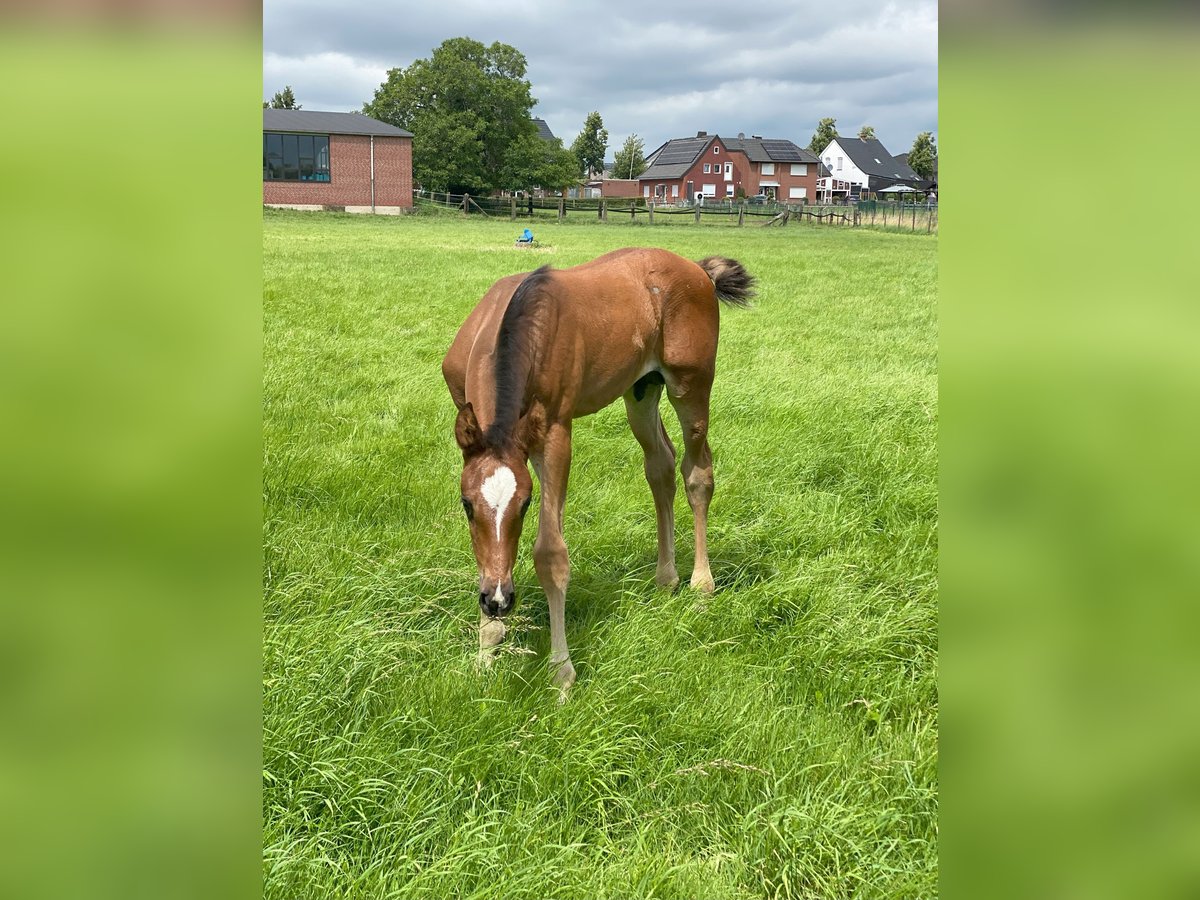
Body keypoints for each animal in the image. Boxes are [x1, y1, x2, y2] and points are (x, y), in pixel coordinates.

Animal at [446, 247, 753, 696]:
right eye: (467, 505)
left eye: (525, 505)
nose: (498, 601)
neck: (519, 320)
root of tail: (697, 270)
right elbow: (483, 553)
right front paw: (486, 654)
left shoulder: (555, 432)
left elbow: (550, 553)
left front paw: (561, 673)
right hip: (641, 390)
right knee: (660, 465)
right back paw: (666, 578)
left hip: (691, 385)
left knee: (697, 474)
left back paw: (701, 585)